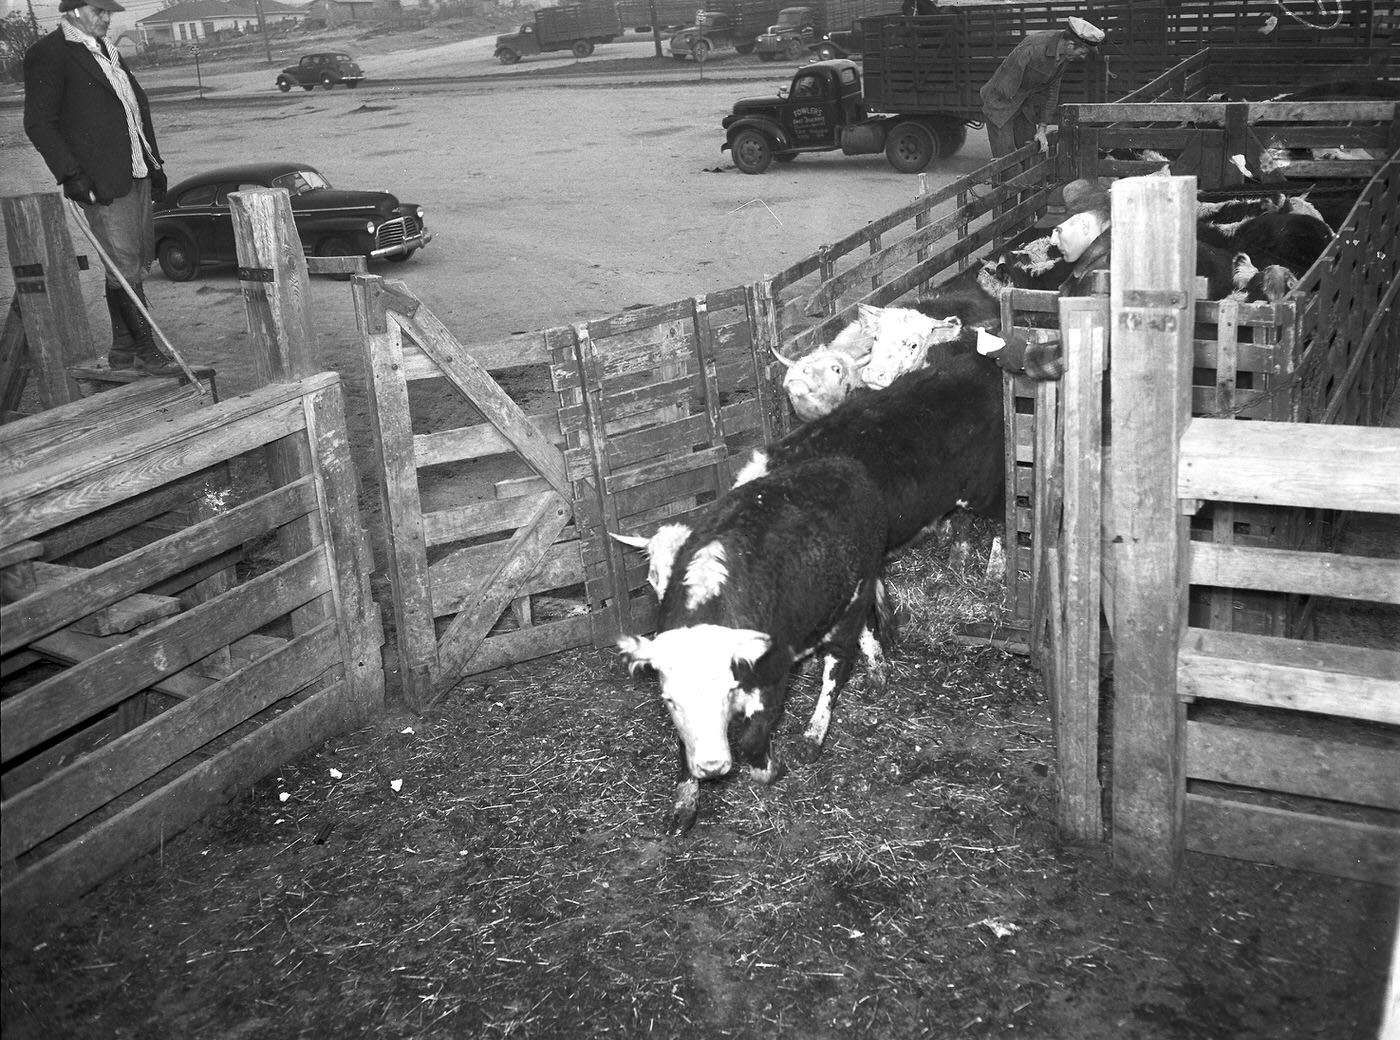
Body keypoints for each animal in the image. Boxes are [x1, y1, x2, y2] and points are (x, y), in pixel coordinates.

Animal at [616, 456, 896, 839]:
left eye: (726, 692)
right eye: (671, 701)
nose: (712, 766)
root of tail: (843, 463)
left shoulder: (772, 676)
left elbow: (752, 742)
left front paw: (773, 767)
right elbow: (684, 746)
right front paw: (685, 804)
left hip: (858, 591)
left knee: (838, 663)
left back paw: (815, 732)